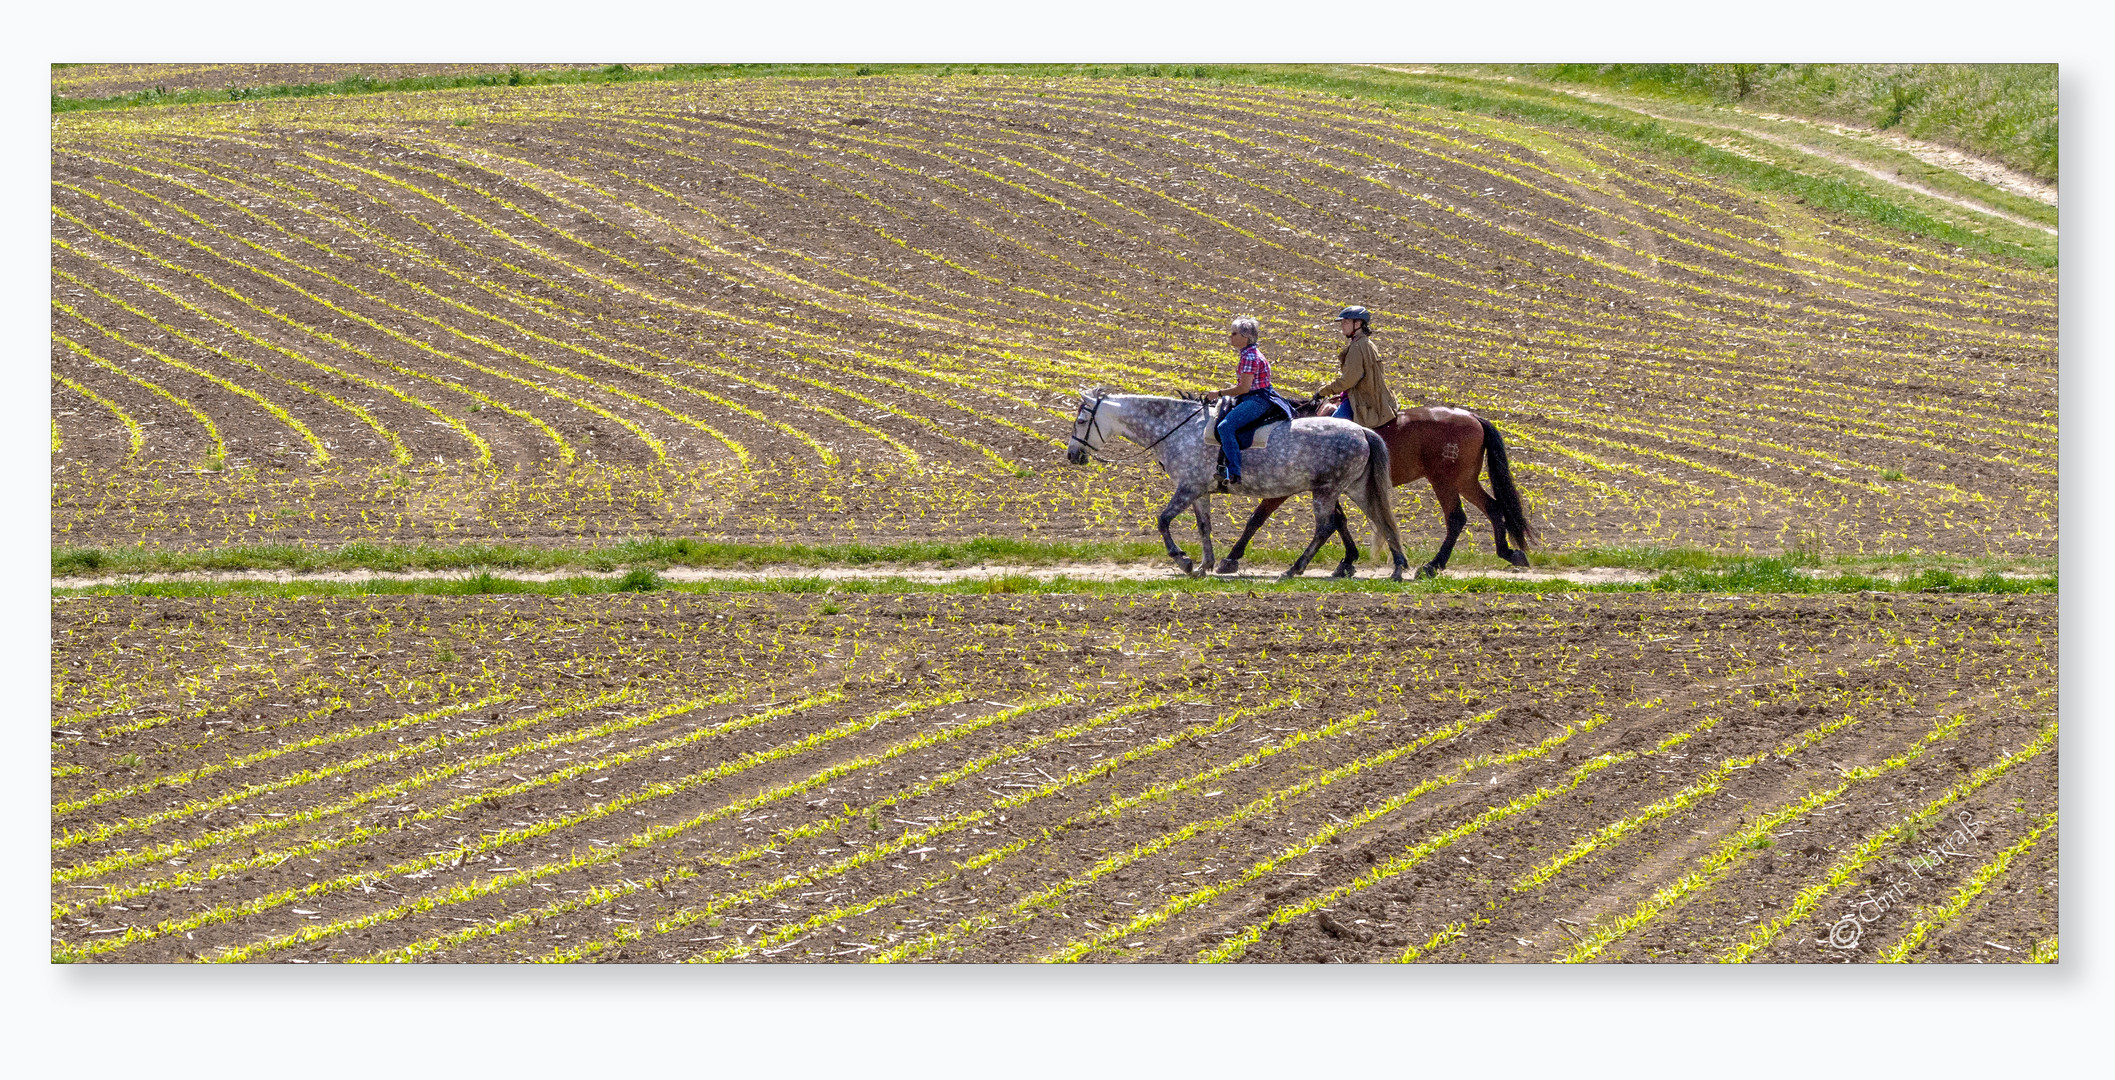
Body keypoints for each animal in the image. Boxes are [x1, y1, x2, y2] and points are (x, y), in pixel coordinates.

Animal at [1065, 388, 1412, 583]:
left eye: (1081, 421)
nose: (1072, 454)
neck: (1177, 428)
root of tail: (1361, 430)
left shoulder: (1188, 488)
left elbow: (1163, 520)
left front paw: (1184, 560)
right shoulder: (1199, 492)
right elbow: (1204, 527)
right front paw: (1204, 565)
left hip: (1326, 491)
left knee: (1326, 528)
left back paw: (1294, 570)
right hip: (1355, 489)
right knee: (1381, 520)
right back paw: (1397, 568)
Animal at [1226, 399, 1539, 583]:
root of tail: (1473, 417)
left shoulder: (1286, 489)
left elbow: (1257, 517)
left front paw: (1232, 557)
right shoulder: (1331, 488)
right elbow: (1339, 521)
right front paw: (1348, 561)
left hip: (1445, 481)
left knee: (1456, 519)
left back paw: (1433, 565)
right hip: (1465, 481)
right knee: (1494, 508)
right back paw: (1508, 552)